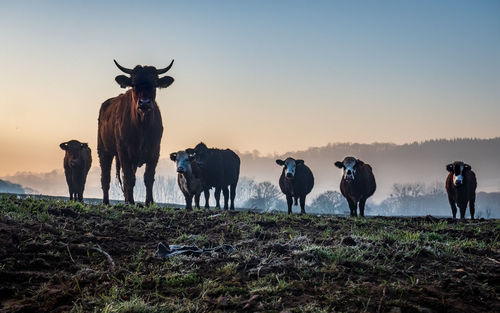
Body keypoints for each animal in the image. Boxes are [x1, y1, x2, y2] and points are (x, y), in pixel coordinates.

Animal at [98, 59, 175, 204]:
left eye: (154, 84)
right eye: (133, 85)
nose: (144, 103)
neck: (142, 127)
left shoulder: (155, 151)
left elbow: (148, 178)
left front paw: (149, 202)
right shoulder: (123, 151)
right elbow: (129, 178)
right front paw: (131, 202)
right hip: (104, 150)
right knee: (105, 178)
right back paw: (107, 202)